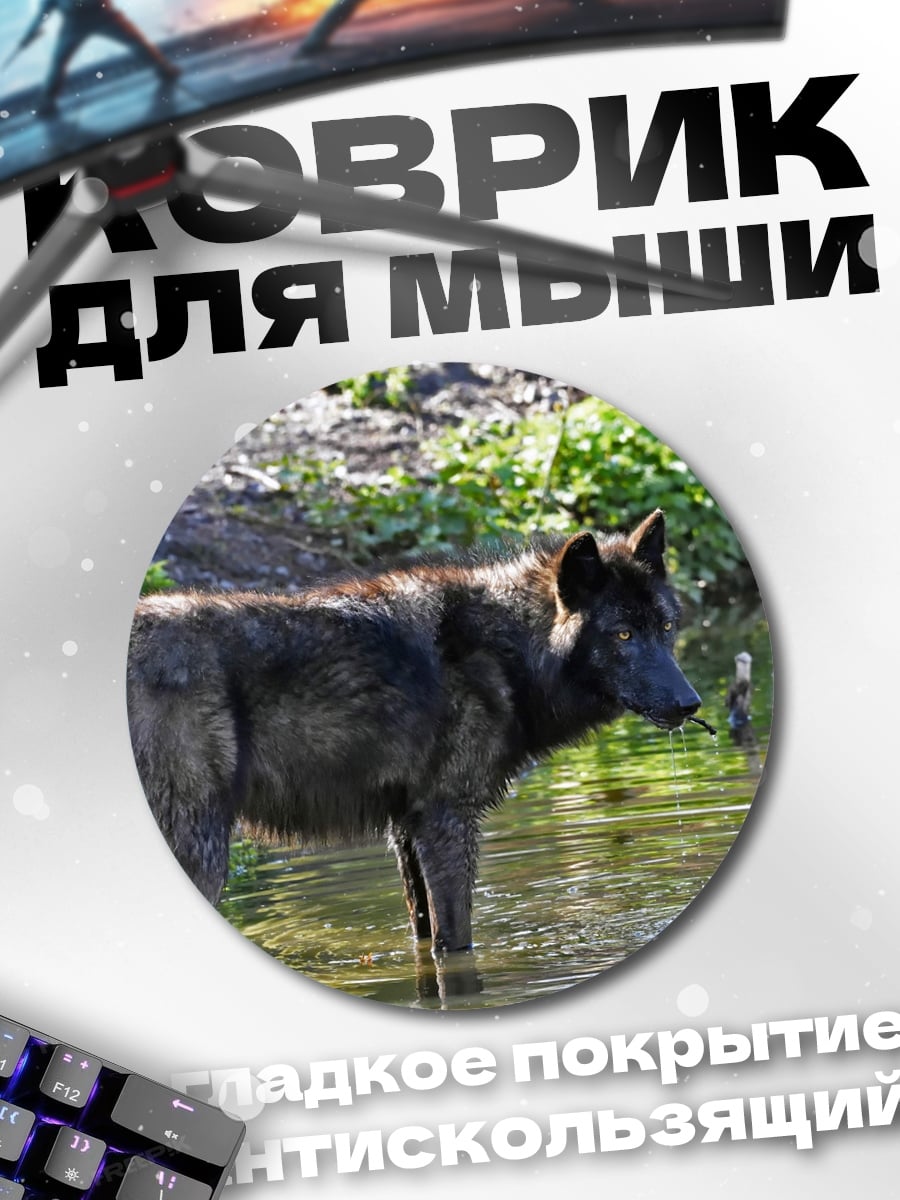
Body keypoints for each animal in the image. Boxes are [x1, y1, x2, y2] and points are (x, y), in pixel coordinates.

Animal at [127, 508, 701, 954]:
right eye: (622, 635)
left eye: (666, 627)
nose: (689, 703)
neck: (508, 651)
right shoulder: (446, 818)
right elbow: (456, 939)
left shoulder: (406, 826)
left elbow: (423, 934)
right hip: (201, 847)